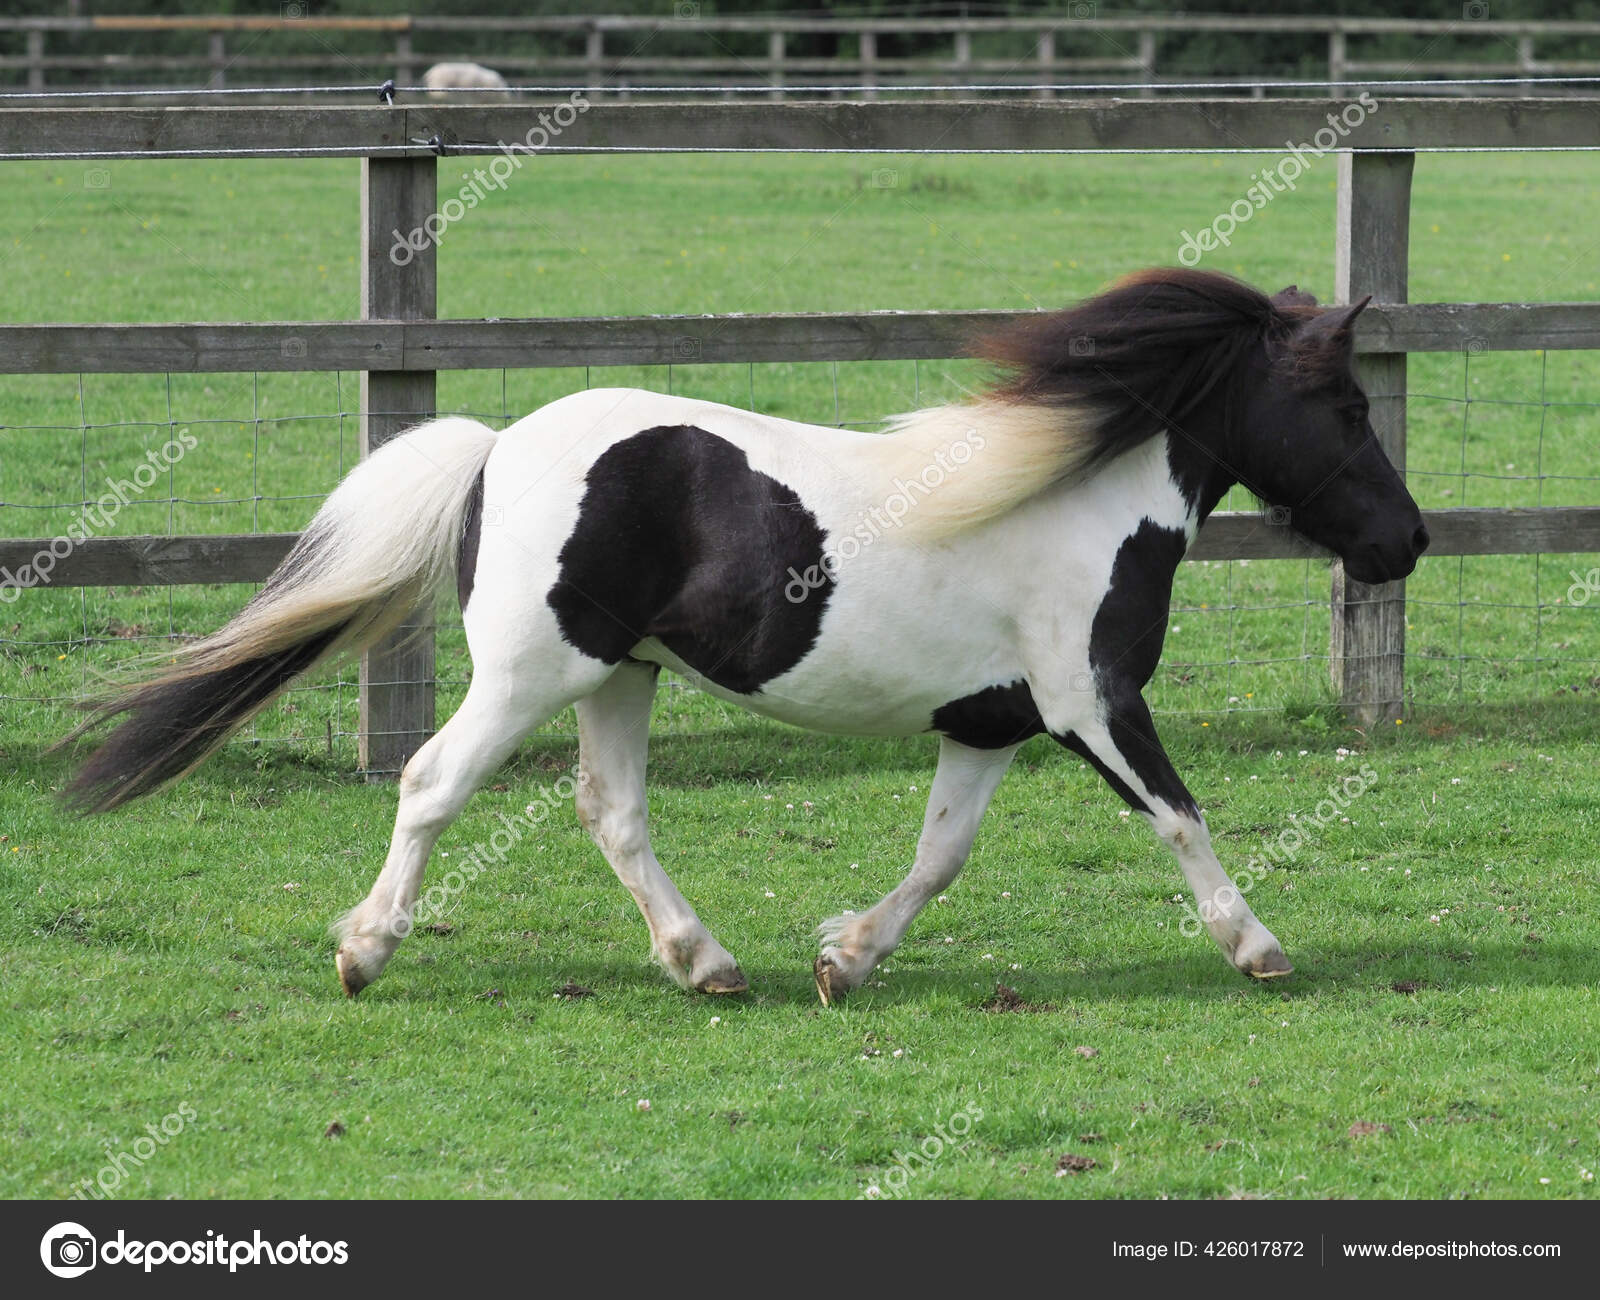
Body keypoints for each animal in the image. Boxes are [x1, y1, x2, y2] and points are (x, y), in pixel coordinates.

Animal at [63, 268, 1429, 1003]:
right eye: (1343, 405)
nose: (1405, 540)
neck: (1082, 502)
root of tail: (498, 446)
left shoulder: (990, 725)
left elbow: (940, 856)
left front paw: (845, 959)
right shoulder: (1091, 704)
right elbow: (1181, 817)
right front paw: (1258, 947)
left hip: (618, 677)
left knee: (612, 813)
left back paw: (704, 962)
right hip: (529, 675)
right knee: (431, 781)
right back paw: (363, 952)